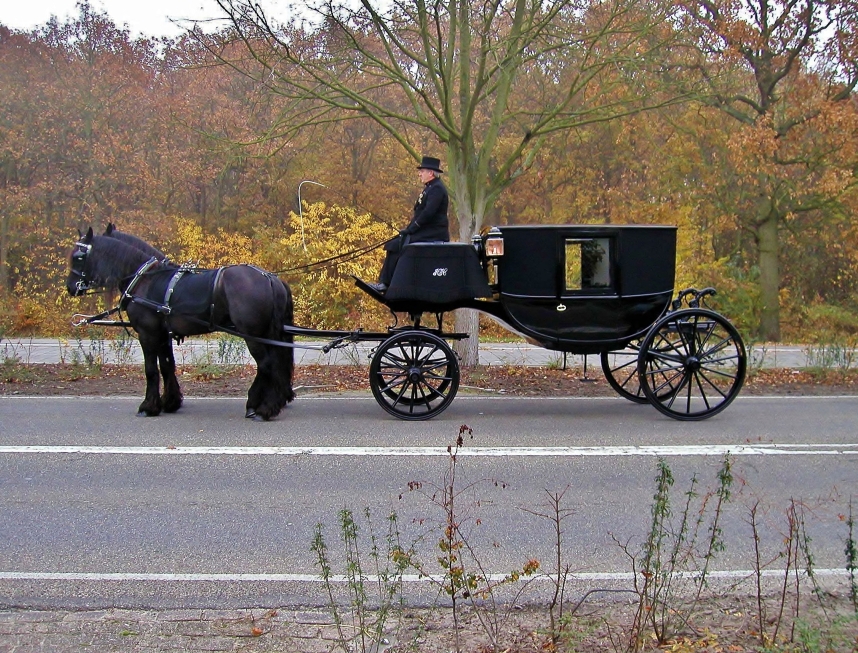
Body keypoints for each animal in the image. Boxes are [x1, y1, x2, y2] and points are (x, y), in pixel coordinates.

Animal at [66, 229, 294, 420]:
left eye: (78, 257)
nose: (70, 287)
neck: (145, 280)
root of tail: (269, 278)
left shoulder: (147, 334)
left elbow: (151, 370)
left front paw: (148, 406)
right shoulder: (163, 334)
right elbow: (167, 366)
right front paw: (170, 402)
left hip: (252, 334)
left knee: (266, 365)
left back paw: (262, 408)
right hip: (266, 333)